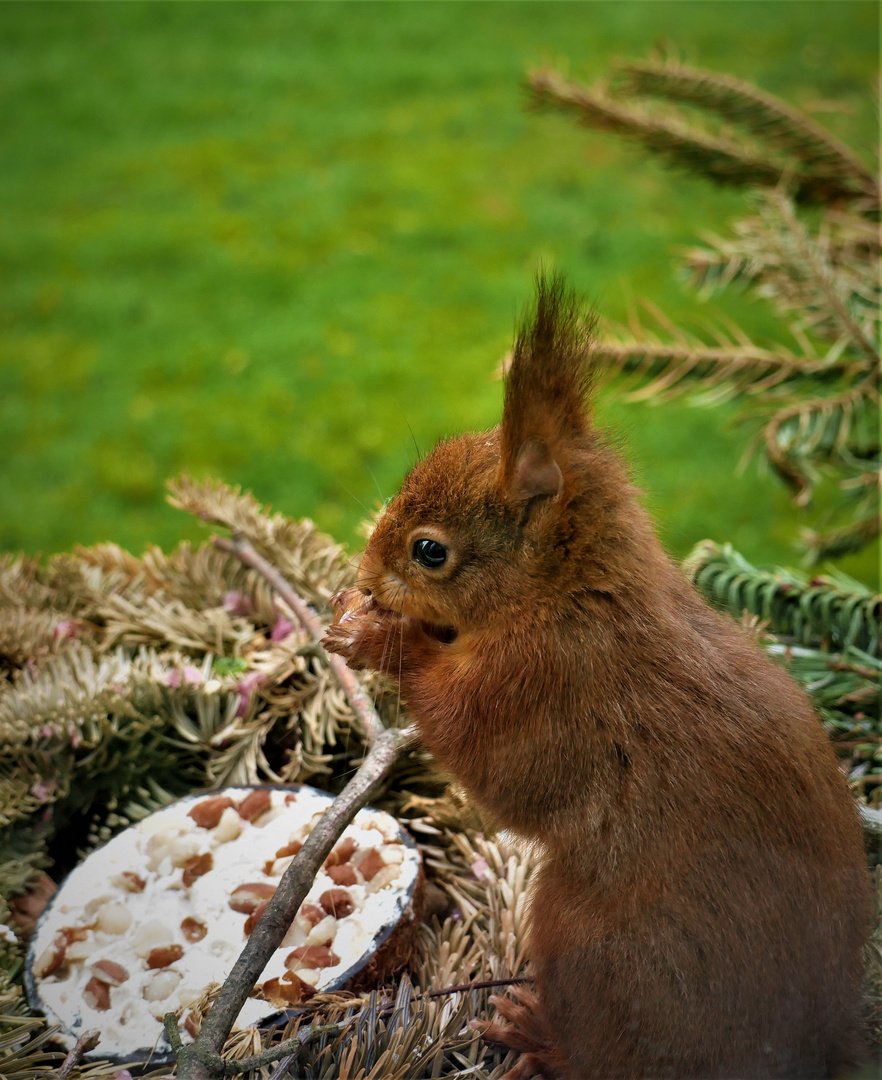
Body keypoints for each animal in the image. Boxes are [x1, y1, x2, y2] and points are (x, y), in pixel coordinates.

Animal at [323, 274, 867, 1075]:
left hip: (594, 950)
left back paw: (533, 1033)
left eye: (429, 552)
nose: (364, 576)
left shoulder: (542, 683)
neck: (567, 595)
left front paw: (378, 635)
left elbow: (482, 751)